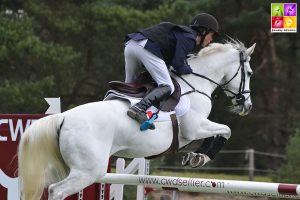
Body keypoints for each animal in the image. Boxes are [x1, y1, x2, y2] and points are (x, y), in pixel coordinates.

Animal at [17, 39, 255, 200]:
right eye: (250, 73)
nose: (247, 106)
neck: (196, 83)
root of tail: (63, 117)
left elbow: (221, 131)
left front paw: (195, 157)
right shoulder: (194, 129)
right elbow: (226, 130)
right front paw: (201, 157)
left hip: (64, 168)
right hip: (87, 171)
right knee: (57, 191)